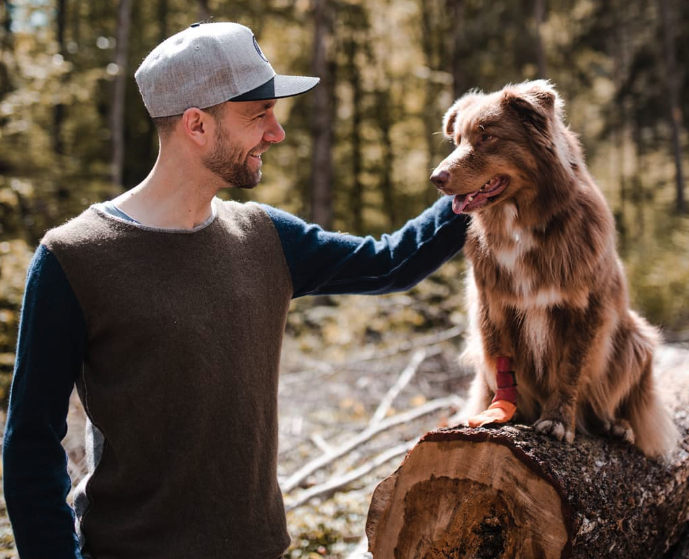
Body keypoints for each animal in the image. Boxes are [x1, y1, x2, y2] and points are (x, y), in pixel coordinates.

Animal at [430, 82, 676, 460]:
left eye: (487, 137)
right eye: (457, 141)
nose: (436, 178)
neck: (523, 224)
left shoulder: (587, 308)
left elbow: (571, 368)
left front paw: (558, 421)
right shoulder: (493, 306)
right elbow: (503, 368)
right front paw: (500, 412)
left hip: (637, 339)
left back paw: (615, 424)